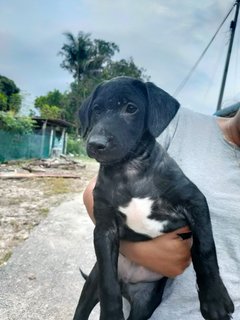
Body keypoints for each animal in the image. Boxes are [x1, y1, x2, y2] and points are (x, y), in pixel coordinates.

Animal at [73, 77, 234, 320]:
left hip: (145, 303)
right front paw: (111, 315)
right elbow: (108, 282)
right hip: (92, 284)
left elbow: (205, 248)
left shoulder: (195, 202)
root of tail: (128, 285)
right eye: (96, 110)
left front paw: (214, 299)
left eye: (131, 108)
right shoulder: (104, 228)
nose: (95, 144)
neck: (130, 171)